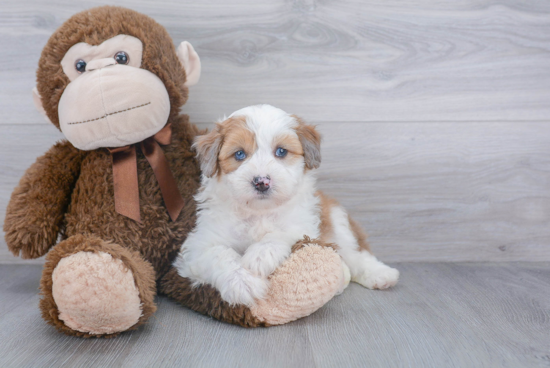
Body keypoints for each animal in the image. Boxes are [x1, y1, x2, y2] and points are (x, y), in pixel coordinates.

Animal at [177, 105, 402, 306]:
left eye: (281, 151)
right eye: (239, 154)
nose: (261, 182)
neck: (259, 213)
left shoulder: (303, 224)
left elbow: (283, 233)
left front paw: (260, 255)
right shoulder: (197, 247)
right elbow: (219, 254)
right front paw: (242, 283)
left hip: (337, 223)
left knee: (355, 255)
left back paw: (381, 274)